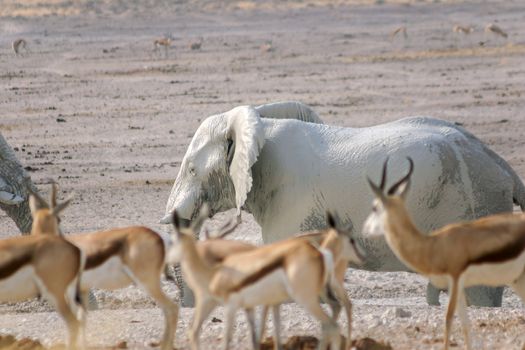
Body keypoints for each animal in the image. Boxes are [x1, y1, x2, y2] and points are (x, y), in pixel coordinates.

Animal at [161, 104, 524, 306]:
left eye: (191, 169)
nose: (187, 303)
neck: (260, 126)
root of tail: (504, 167)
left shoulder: (292, 202)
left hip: (474, 205)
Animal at [362, 159, 524, 350]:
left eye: (374, 207)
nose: (365, 230)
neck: (433, 245)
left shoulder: (454, 281)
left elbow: (448, 320)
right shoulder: (459, 288)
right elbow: (465, 325)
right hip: (517, 280)